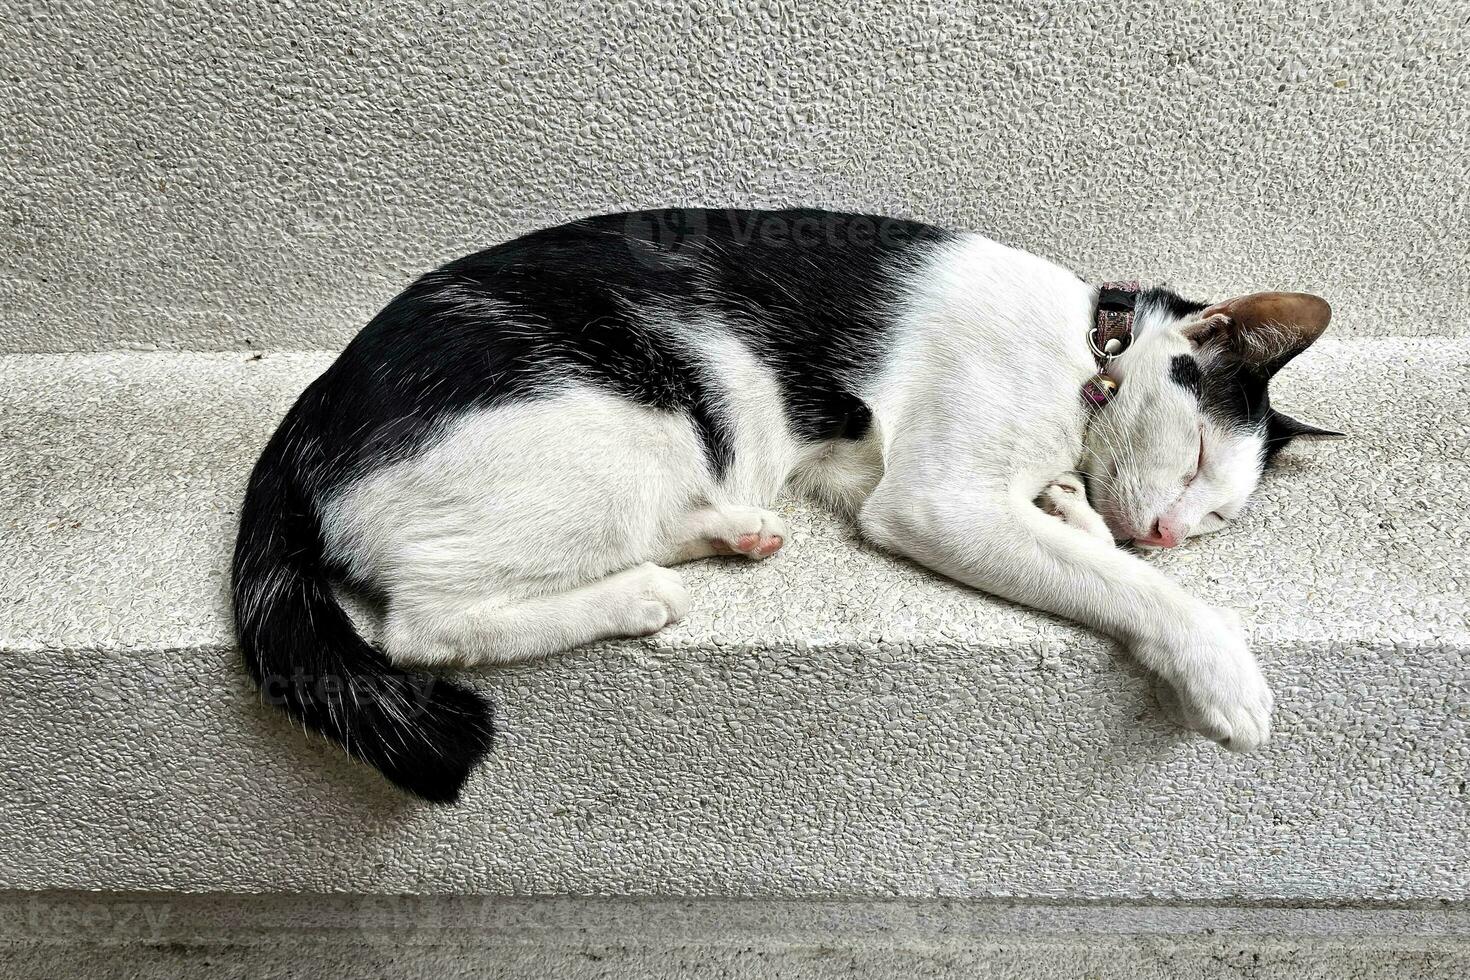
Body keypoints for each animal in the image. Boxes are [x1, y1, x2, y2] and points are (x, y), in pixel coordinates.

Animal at [232, 208, 1346, 805]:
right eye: (1195, 458)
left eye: (1215, 516)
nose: (1168, 531)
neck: (1087, 348)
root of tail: (305, 417)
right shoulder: (931, 501)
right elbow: (1122, 584)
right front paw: (1222, 671)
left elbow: (1079, 530)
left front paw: (1074, 506)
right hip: (620, 432)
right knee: (425, 625)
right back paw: (637, 596)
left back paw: (730, 528)